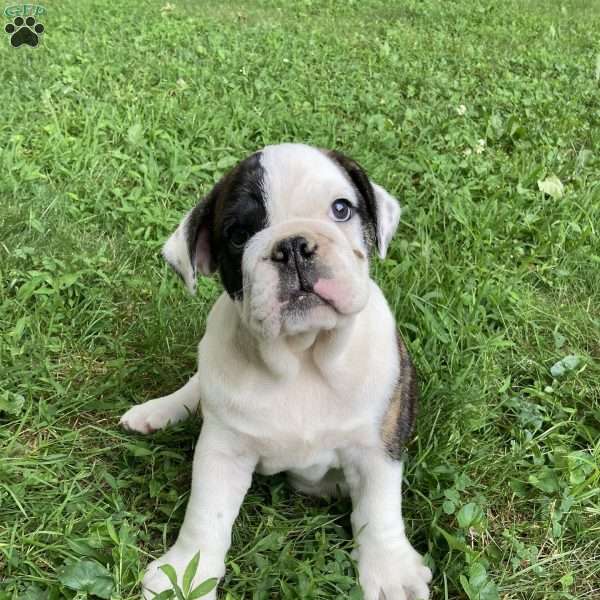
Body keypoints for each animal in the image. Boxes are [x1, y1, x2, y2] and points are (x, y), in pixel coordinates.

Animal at [122, 143, 432, 596]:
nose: (293, 246)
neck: (302, 357)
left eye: (341, 209)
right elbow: (206, 515)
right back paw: (157, 411)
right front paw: (186, 574)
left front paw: (390, 572)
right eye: (237, 235)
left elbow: (378, 509)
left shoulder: (377, 444)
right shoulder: (223, 451)